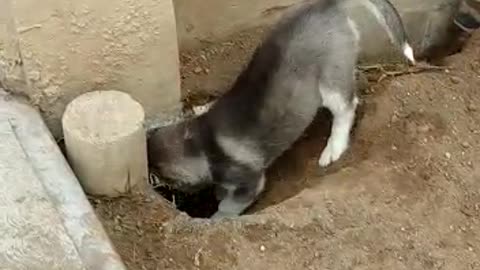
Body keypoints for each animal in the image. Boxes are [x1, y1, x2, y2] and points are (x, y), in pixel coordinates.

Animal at [148, 0, 414, 218]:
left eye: (157, 173)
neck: (201, 142)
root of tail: (325, 5)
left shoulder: (248, 182)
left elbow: (228, 206)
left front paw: (217, 217)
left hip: (331, 81)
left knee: (347, 108)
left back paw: (333, 149)